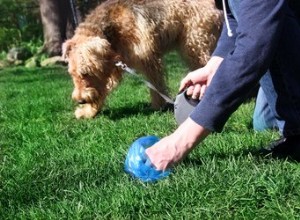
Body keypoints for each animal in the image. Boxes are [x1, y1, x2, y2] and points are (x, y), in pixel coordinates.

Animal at [62, 0, 223, 118]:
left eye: (85, 72)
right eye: (72, 74)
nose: (80, 100)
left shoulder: (148, 59)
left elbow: (156, 85)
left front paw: (158, 106)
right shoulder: (113, 68)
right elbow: (102, 90)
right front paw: (88, 112)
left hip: (195, 45)